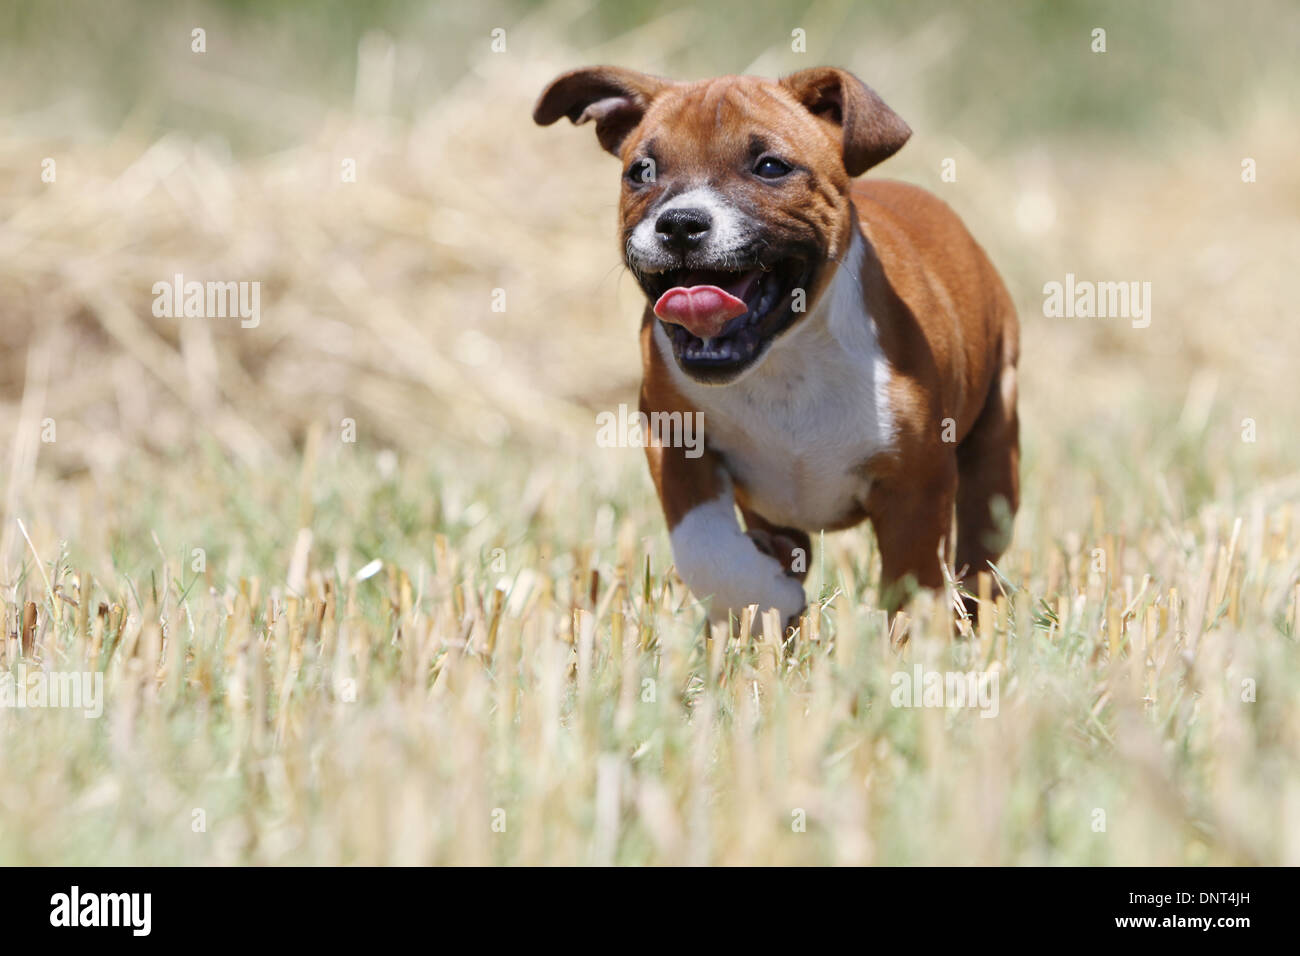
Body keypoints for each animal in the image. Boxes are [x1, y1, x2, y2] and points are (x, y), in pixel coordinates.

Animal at [533, 65, 1019, 621]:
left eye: (769, 167)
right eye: (642, 172)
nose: (680, 224)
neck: (785, 360)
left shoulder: (916, 483)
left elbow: (911, 583)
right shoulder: (675, 442)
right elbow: (705, 546)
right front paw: (765, 595)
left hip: (997, 444)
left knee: (981, 547)